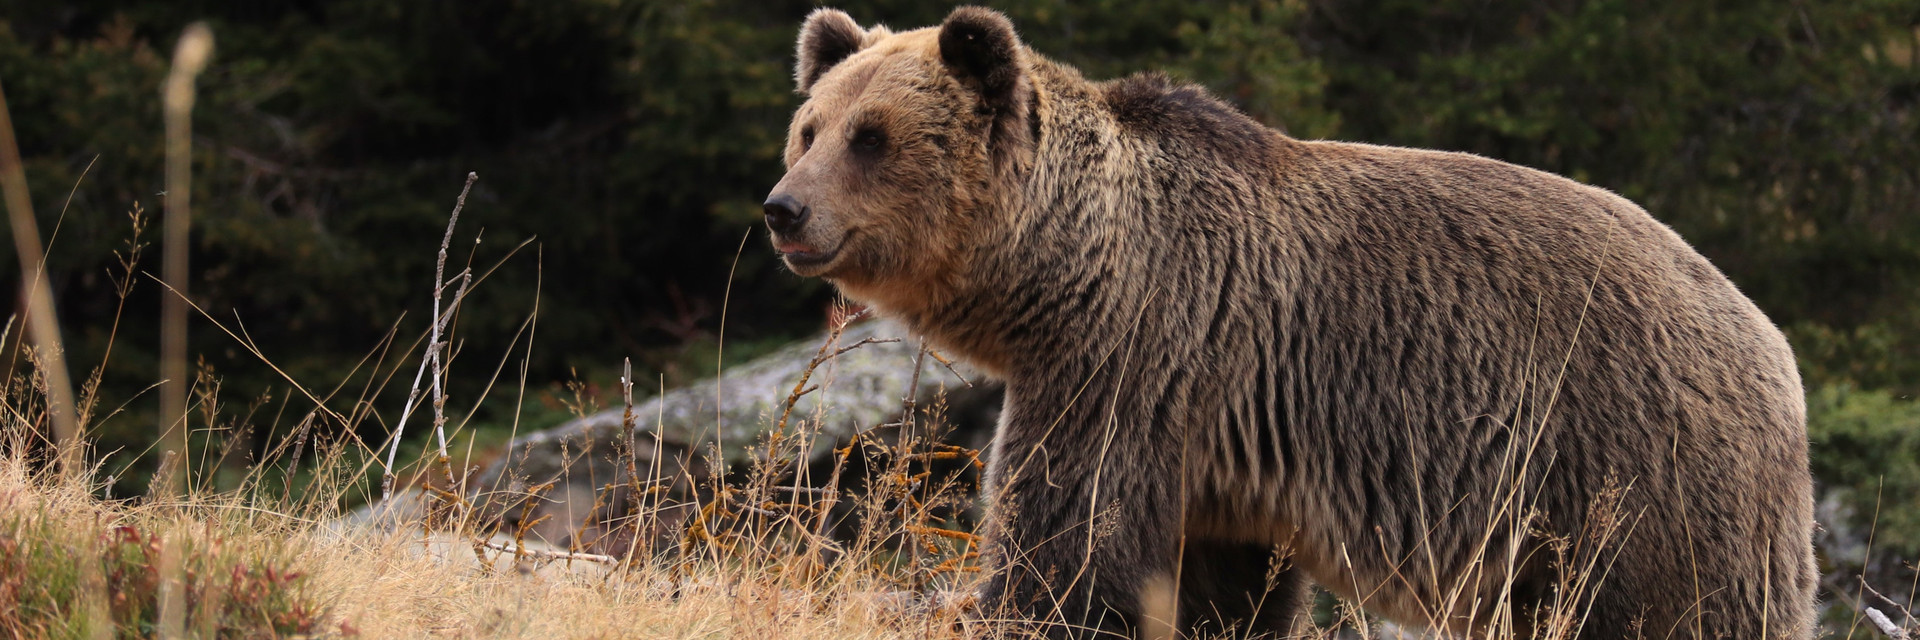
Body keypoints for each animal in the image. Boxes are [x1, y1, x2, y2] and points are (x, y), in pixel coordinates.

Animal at [762, 7, 1817, 639]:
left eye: (872, 138)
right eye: (809, 128)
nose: (784, 210)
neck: (1068, 276)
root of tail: (1773, 347)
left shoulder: (1139, 357)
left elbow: (1071, 540)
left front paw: (993, 602)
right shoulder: (1218, 442)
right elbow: (1215, 586)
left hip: (1628, 473)